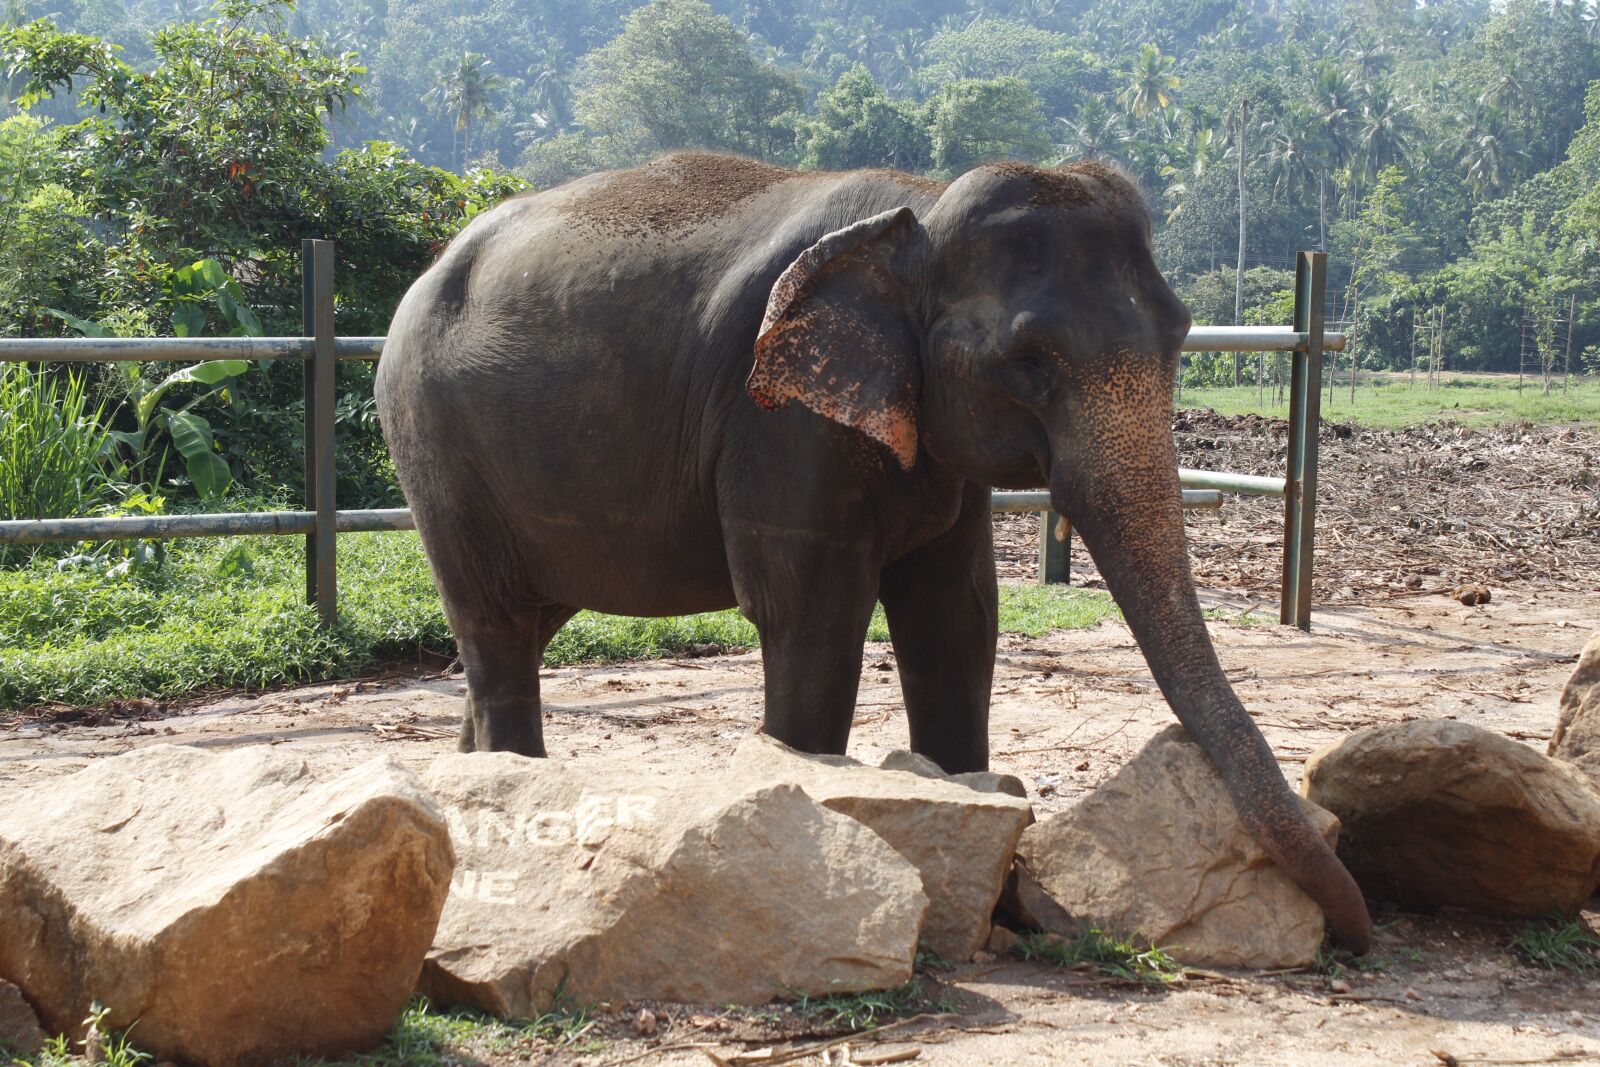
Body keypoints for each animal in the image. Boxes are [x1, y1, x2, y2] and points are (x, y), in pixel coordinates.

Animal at [375, 151, 1371, 952]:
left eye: (1179, 334)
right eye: (1031, 359)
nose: (1357, 934)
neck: (918, 214)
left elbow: (957, 621)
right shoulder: (778, 416)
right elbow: (810, 615)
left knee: (517, 632)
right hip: (435, 448)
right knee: (495, 627)